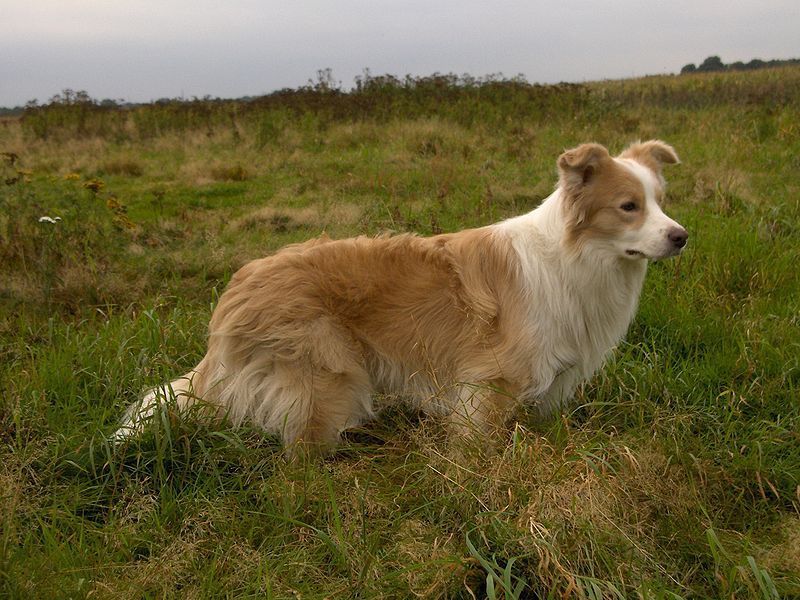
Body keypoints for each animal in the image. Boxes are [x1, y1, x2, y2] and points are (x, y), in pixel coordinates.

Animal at [117, 139, 688, 450]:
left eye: (661, 201)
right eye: (628, 206)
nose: (682, 237)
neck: (575, 258)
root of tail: (237, 289)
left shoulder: (549, 385)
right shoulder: (490, 383)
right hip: (329, 382)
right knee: (300, 459)